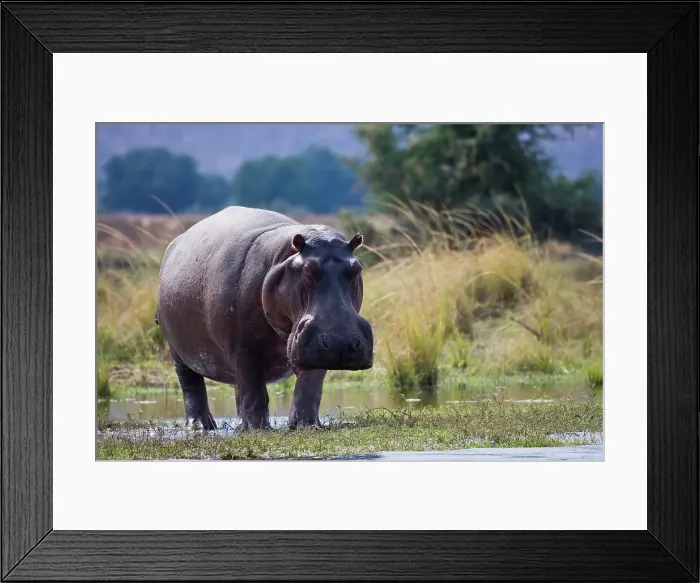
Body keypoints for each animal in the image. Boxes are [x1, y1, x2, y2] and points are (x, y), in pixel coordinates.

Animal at [155, 206, 374, 430]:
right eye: (307, 269)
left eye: (357, 268)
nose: (341, 342)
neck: (280, 258)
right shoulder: (242, 347)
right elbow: (254, 391)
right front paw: (255, 429)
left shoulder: (314, 351)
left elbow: (309, 388)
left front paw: (305, 425)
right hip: (178, 352)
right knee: (192, 386)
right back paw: (201, 426)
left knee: (237, 389)